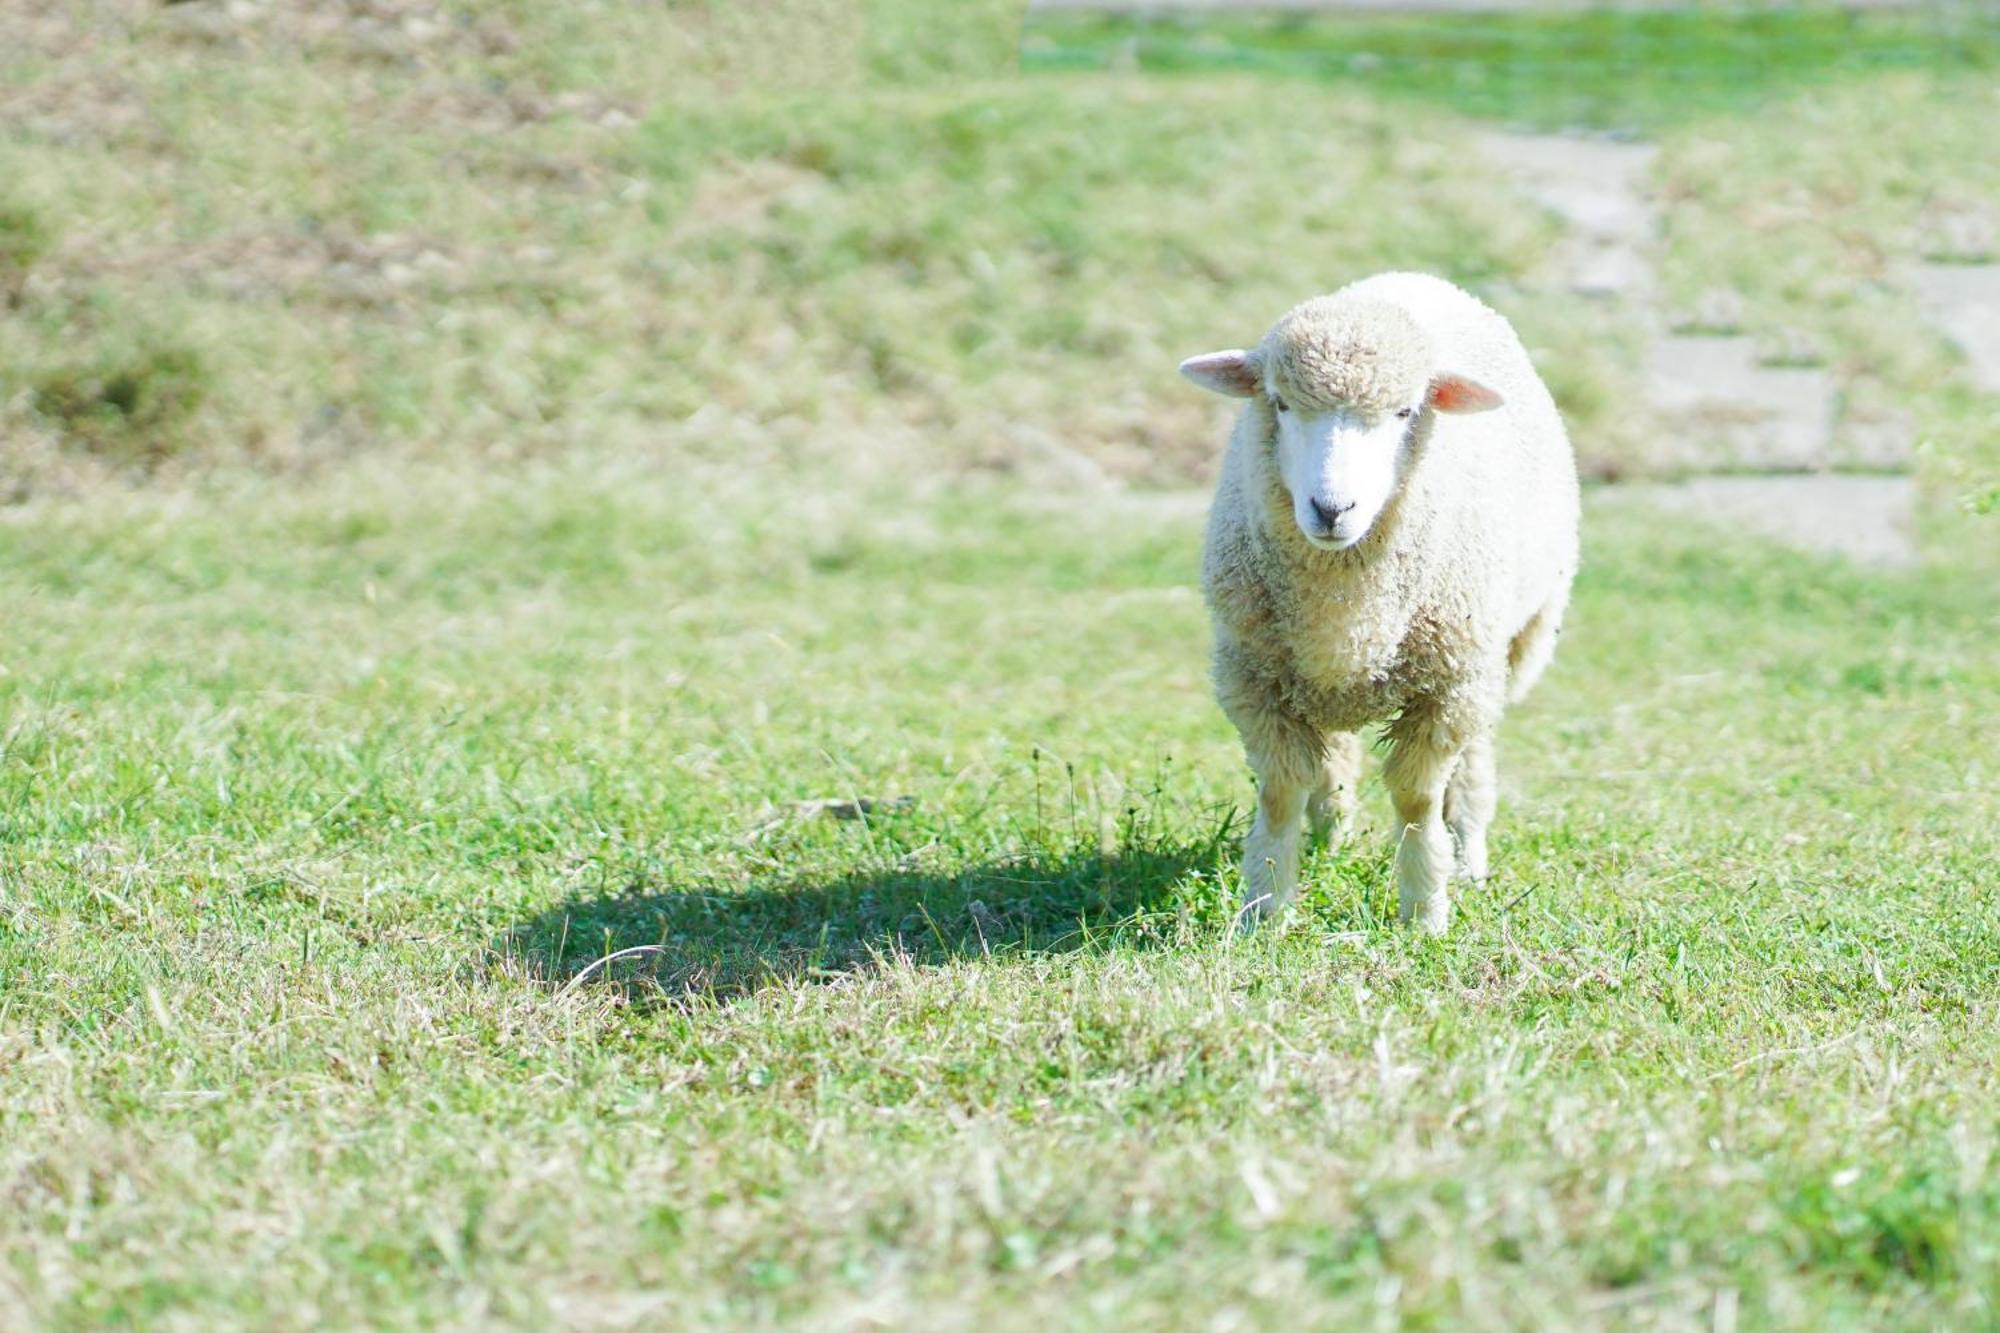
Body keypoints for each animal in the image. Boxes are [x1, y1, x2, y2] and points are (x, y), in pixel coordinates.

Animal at [1168, 268, 1576, 928]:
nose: (1332, 510)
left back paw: (1468, 858)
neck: (1345, 609)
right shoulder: (1254, 679)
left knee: (1472, 766)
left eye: (1405, 410)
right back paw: (1331, 838)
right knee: (1332, 762)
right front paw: (1266, 911)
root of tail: (1412, 277)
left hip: (1506, 650)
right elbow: (1279, 793)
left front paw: (1424, 911)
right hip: (1309, 678)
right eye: (1280, 403)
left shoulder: (1448, 686)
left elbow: (1416, 798)